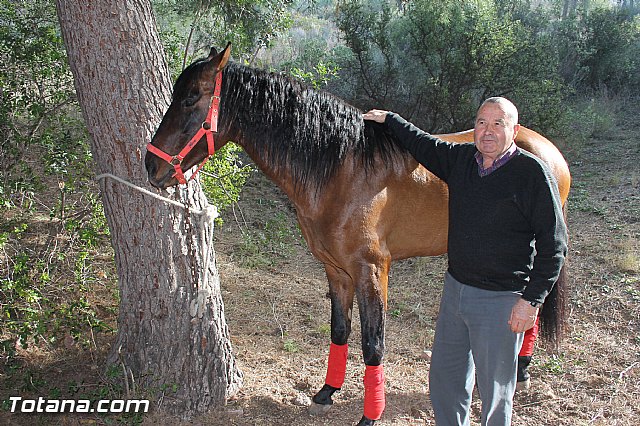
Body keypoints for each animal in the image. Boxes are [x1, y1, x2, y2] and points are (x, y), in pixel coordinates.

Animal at [145, 44, 568, 426]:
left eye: (191, 98)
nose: (151, 164)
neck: (343, 168)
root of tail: (545, 148)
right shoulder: (336, 271)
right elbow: (340, 330)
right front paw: (326, 392)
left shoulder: (372, 271)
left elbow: (373, 344)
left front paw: (370, 415)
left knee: (530, 303)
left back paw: (521, 372)